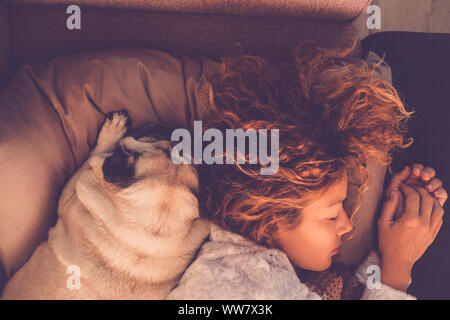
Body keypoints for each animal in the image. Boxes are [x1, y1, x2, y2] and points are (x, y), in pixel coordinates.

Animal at [1, 110, 210, 300]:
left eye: (154, 139)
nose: (164, 128)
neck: (150, 227)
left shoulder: (73, 191)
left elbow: (94, 156)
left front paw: (112, 131)